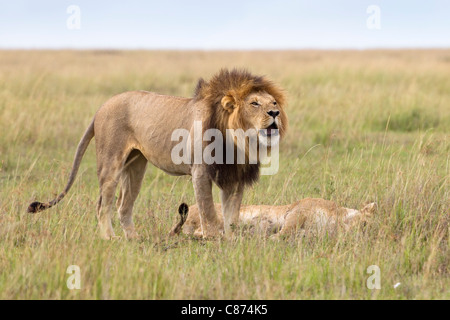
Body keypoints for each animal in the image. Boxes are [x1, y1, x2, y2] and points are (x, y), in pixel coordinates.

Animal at [27, 70, 288, 240]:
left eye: (274, 102)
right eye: (254, 103)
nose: (274, 113)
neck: (240, 138)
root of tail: (101, 107)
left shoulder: (234, 176)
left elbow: (231, 213)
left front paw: (231, 238)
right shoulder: (201, 172)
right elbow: (208, 210)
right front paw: (214, 238)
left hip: (136, 166)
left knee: (123, 205)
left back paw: (134, 239)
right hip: (111, 162)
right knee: (103, 204)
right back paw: (110, 237)